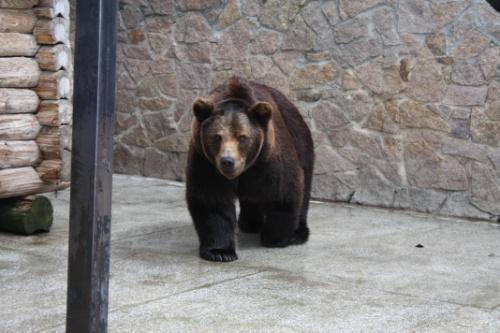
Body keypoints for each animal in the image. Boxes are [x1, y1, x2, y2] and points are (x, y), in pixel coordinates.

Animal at [186, 76, 314, 260]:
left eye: (242, 137)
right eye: (217, 137)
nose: (227, 161)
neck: (246, 169)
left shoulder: (268, 159)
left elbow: (283, 191)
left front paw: (275, 238)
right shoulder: (206, 163)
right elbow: (212, 200)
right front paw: (220, 252)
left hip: (300, 139)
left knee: (305, 183)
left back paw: (298, 232)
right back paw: (250, 223)